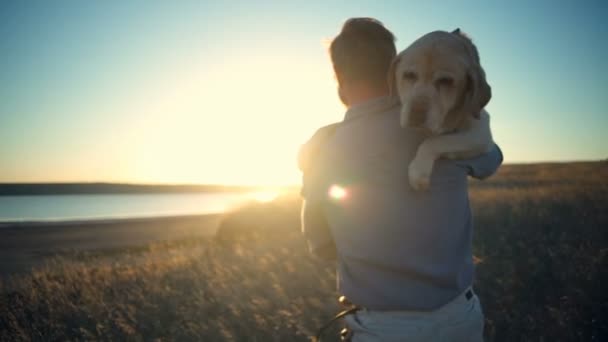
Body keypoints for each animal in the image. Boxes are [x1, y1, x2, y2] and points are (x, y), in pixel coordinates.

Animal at [390, 28, 494, 191]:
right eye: (409, 75)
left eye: (446, 81)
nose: (416, 114)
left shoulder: (482, 133)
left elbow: (436, 141)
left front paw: (418, 171)